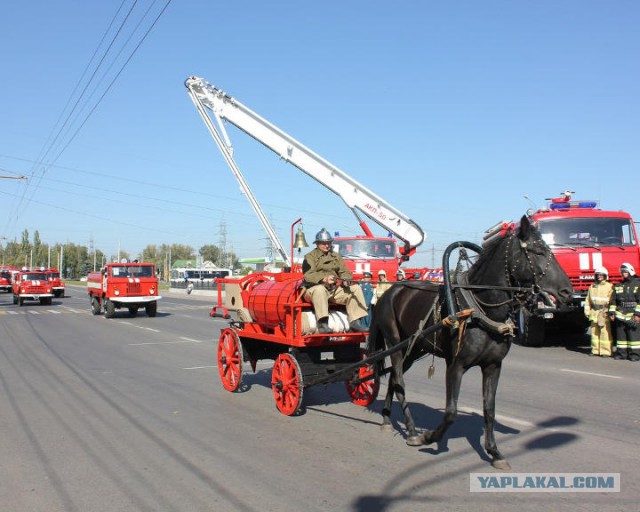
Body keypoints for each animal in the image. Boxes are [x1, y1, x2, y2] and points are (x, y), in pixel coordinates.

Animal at [368, 215, 572, 468]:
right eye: (538, 251)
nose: (568, 292)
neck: (480, 309)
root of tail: (389, 292)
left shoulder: (493, 365)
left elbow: (489, 409)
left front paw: (494, 452)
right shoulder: (455, 365)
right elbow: (451, 411)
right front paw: (430, 437)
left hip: (413, 348)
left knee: (394, 380)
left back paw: (387, 419)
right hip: (395, 342)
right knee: (399, 382)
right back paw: (414, 431)